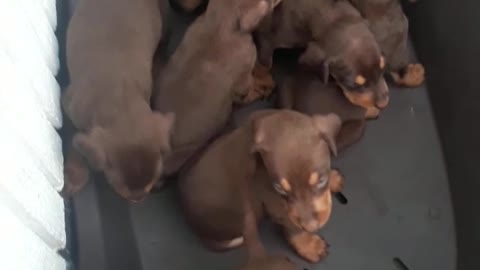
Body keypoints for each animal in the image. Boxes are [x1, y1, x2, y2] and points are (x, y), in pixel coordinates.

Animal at [62, 0, 174, 201]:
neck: (120, 98)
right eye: (119, 187)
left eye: (150, 183)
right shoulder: (67, 104)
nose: (139, 198)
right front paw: (75, 175)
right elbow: (72, 137)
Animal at [179, 109, 342, 262]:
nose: (312, 227)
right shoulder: (272, 201)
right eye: (279, 188)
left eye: (321, 180)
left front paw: (333, 179)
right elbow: (292, 226)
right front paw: (309, 246)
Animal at [256, 0, 388, 118]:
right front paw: (264, 82)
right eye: (354, 85)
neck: (333, 18)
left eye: (382, 70)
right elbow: (264, 63)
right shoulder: (268, 38)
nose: (383, 105)